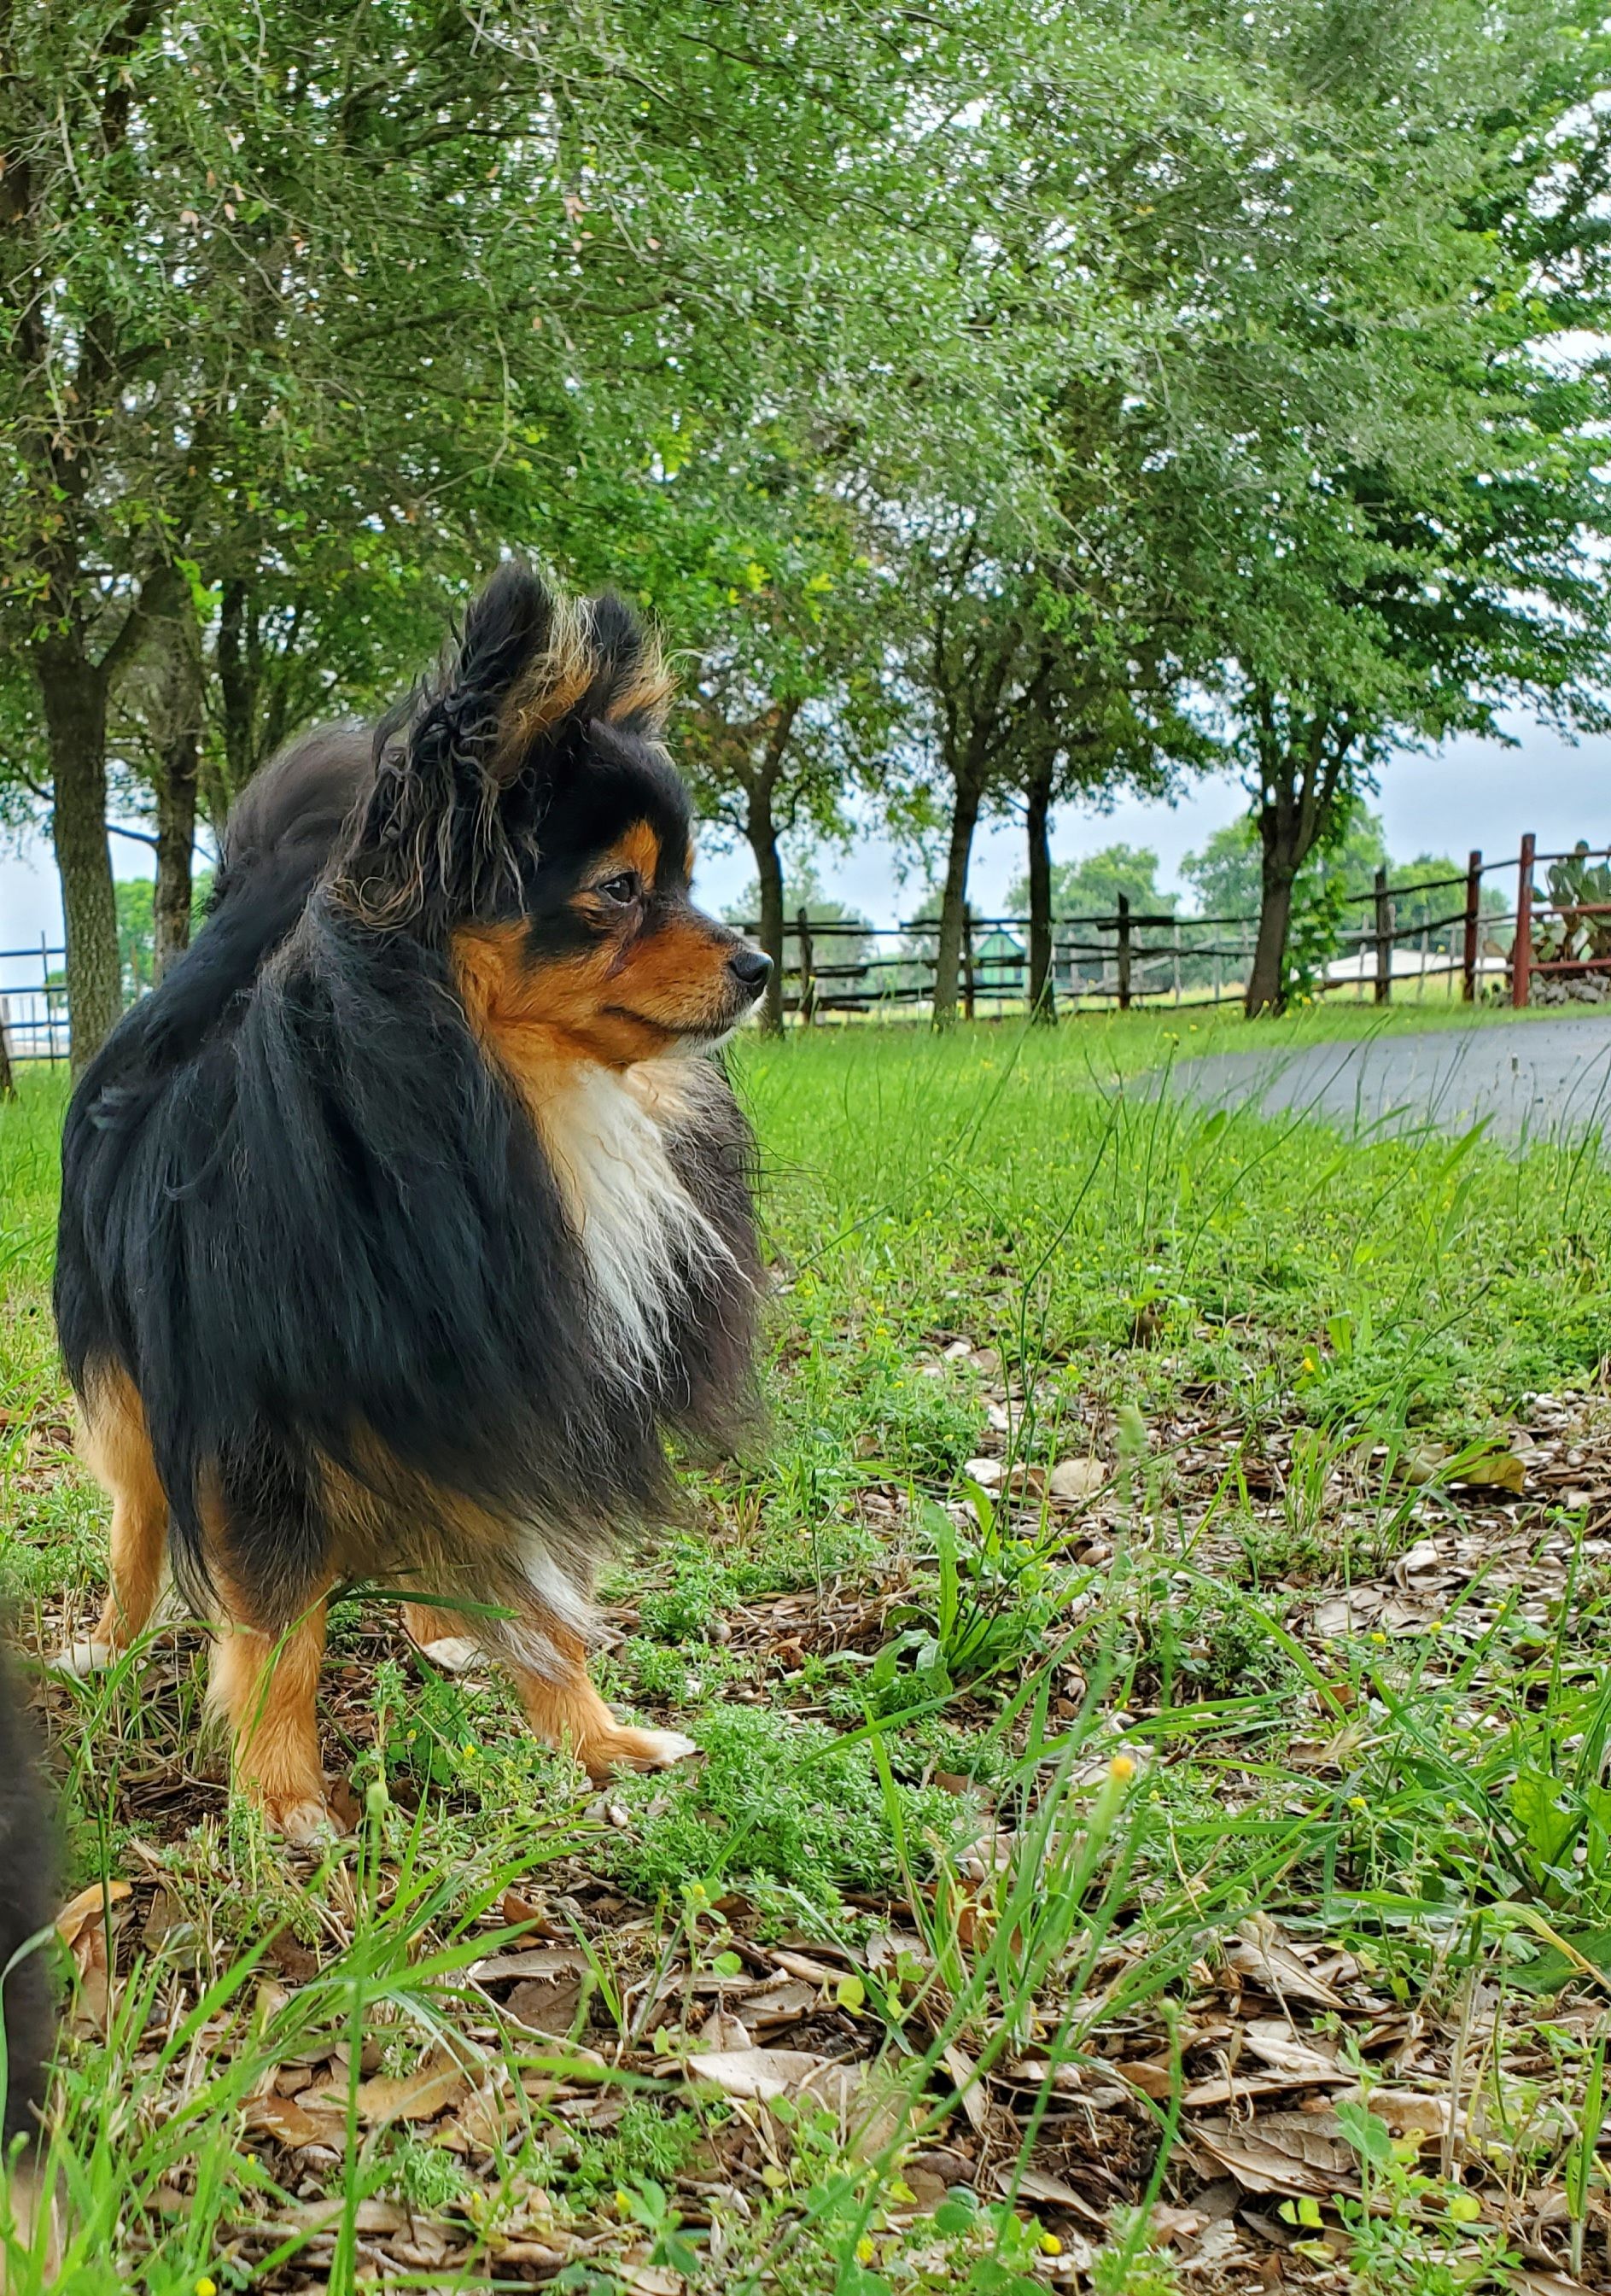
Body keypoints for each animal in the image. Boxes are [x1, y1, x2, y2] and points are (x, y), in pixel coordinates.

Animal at [53, 566, 769, 1842]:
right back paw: (112, 1641)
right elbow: (278, 1629)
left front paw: (596, 1740)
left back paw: (443, 1630)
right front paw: (283, 1797)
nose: (760, 965)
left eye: (687, 884)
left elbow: (544, 1600)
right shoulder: (263, 1426)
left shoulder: (514, 1376)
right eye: (620, 890)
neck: (511, 1103)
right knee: (136, 1516)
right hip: (133, 1381)